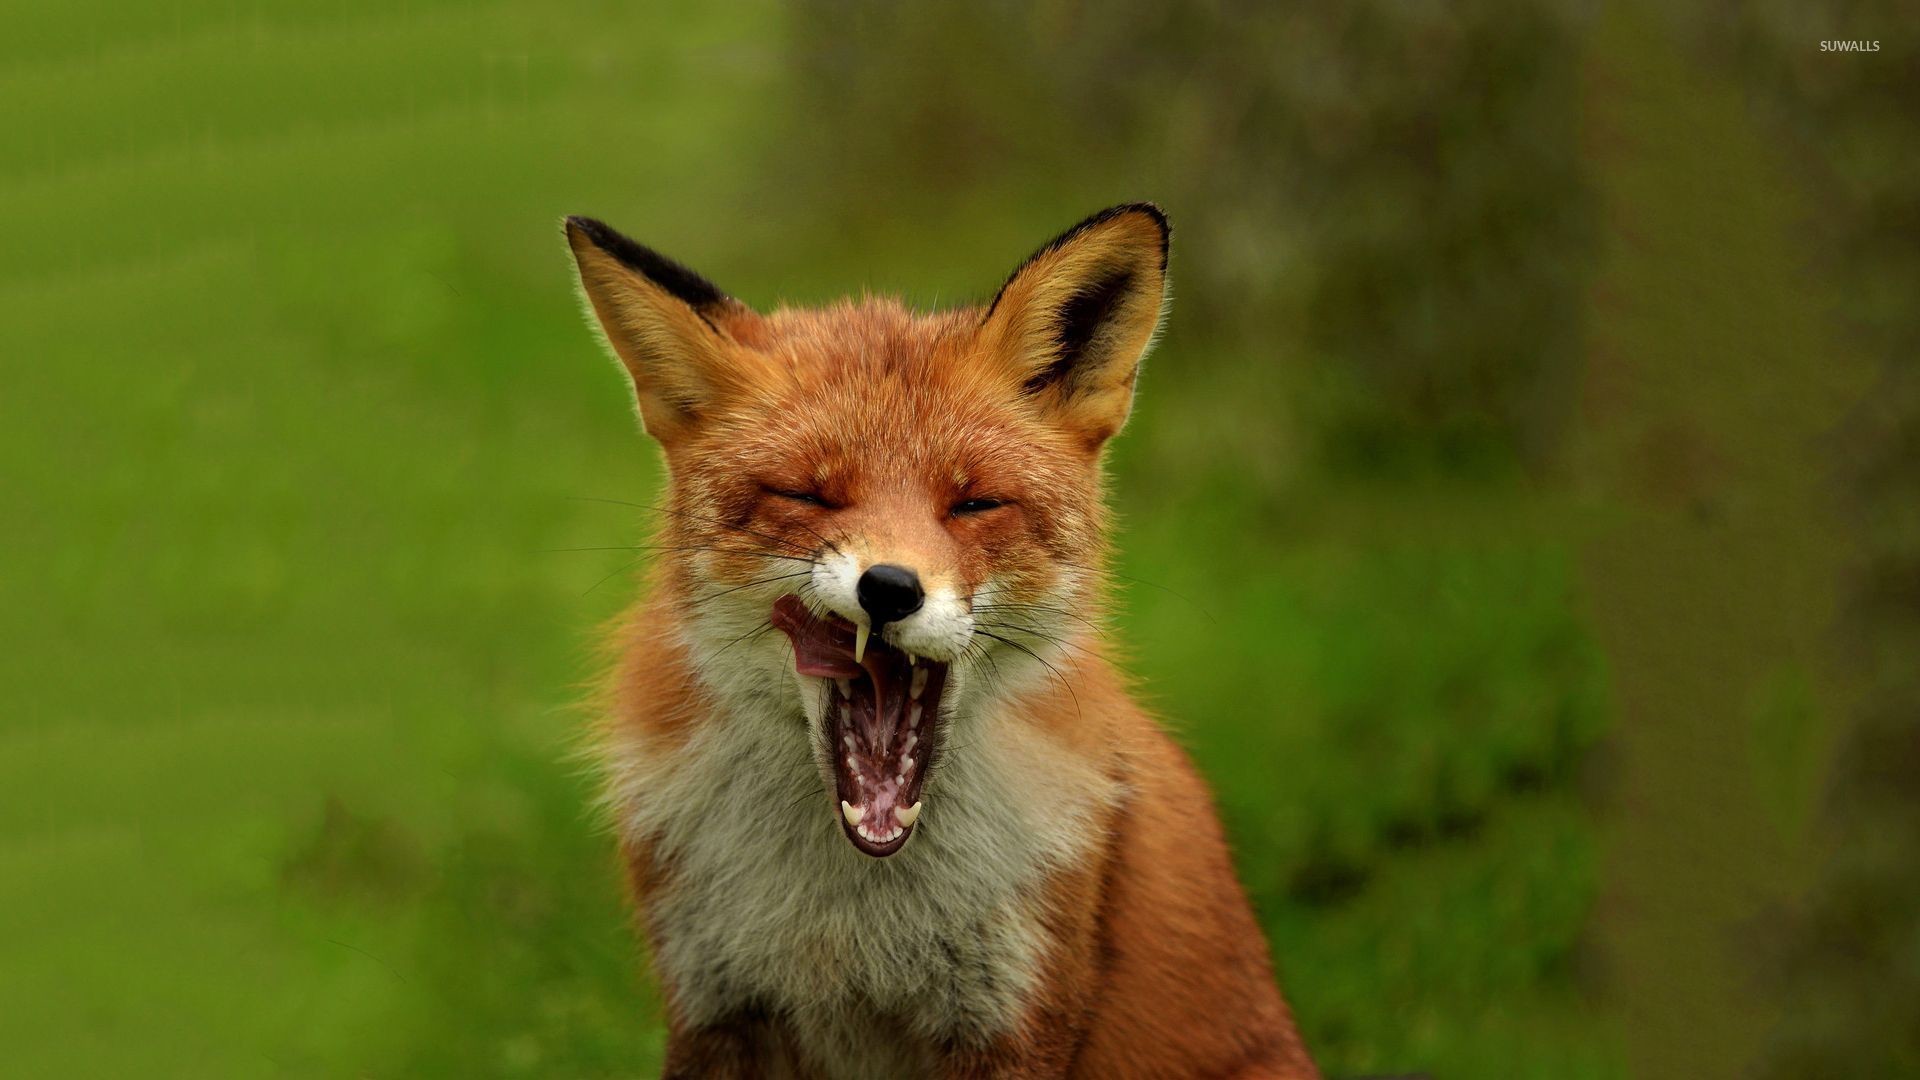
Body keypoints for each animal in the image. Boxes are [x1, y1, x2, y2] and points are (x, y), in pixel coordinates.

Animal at [563, 203, 1320, 1079]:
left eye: (974, 504)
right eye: (807, 495)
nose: (890, 588)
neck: (852, 916)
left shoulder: (1013, 1019)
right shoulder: (714, 1006)